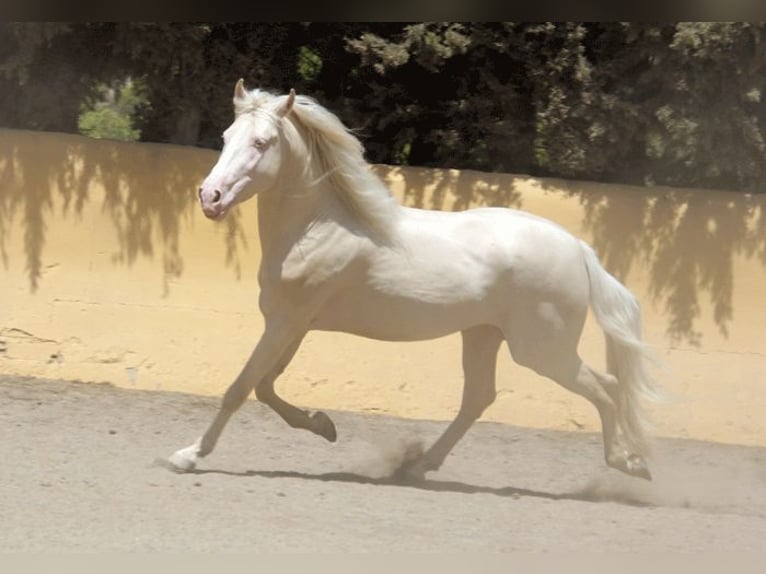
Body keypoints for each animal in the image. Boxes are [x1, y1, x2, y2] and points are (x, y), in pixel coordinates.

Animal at [171, 81, 664, 484]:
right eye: (225, 138)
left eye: (262, 142)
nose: (210, 197)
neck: (317, 226)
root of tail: (578, 249)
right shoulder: (294, 325)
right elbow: (264, 386)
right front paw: (324, 425)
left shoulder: (286, 322)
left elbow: (240, 387)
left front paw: (188, 455)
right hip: (483, 336)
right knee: (479, 398)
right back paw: (419, 465)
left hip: (542, 350)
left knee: (606, 386)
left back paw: (629, 463)